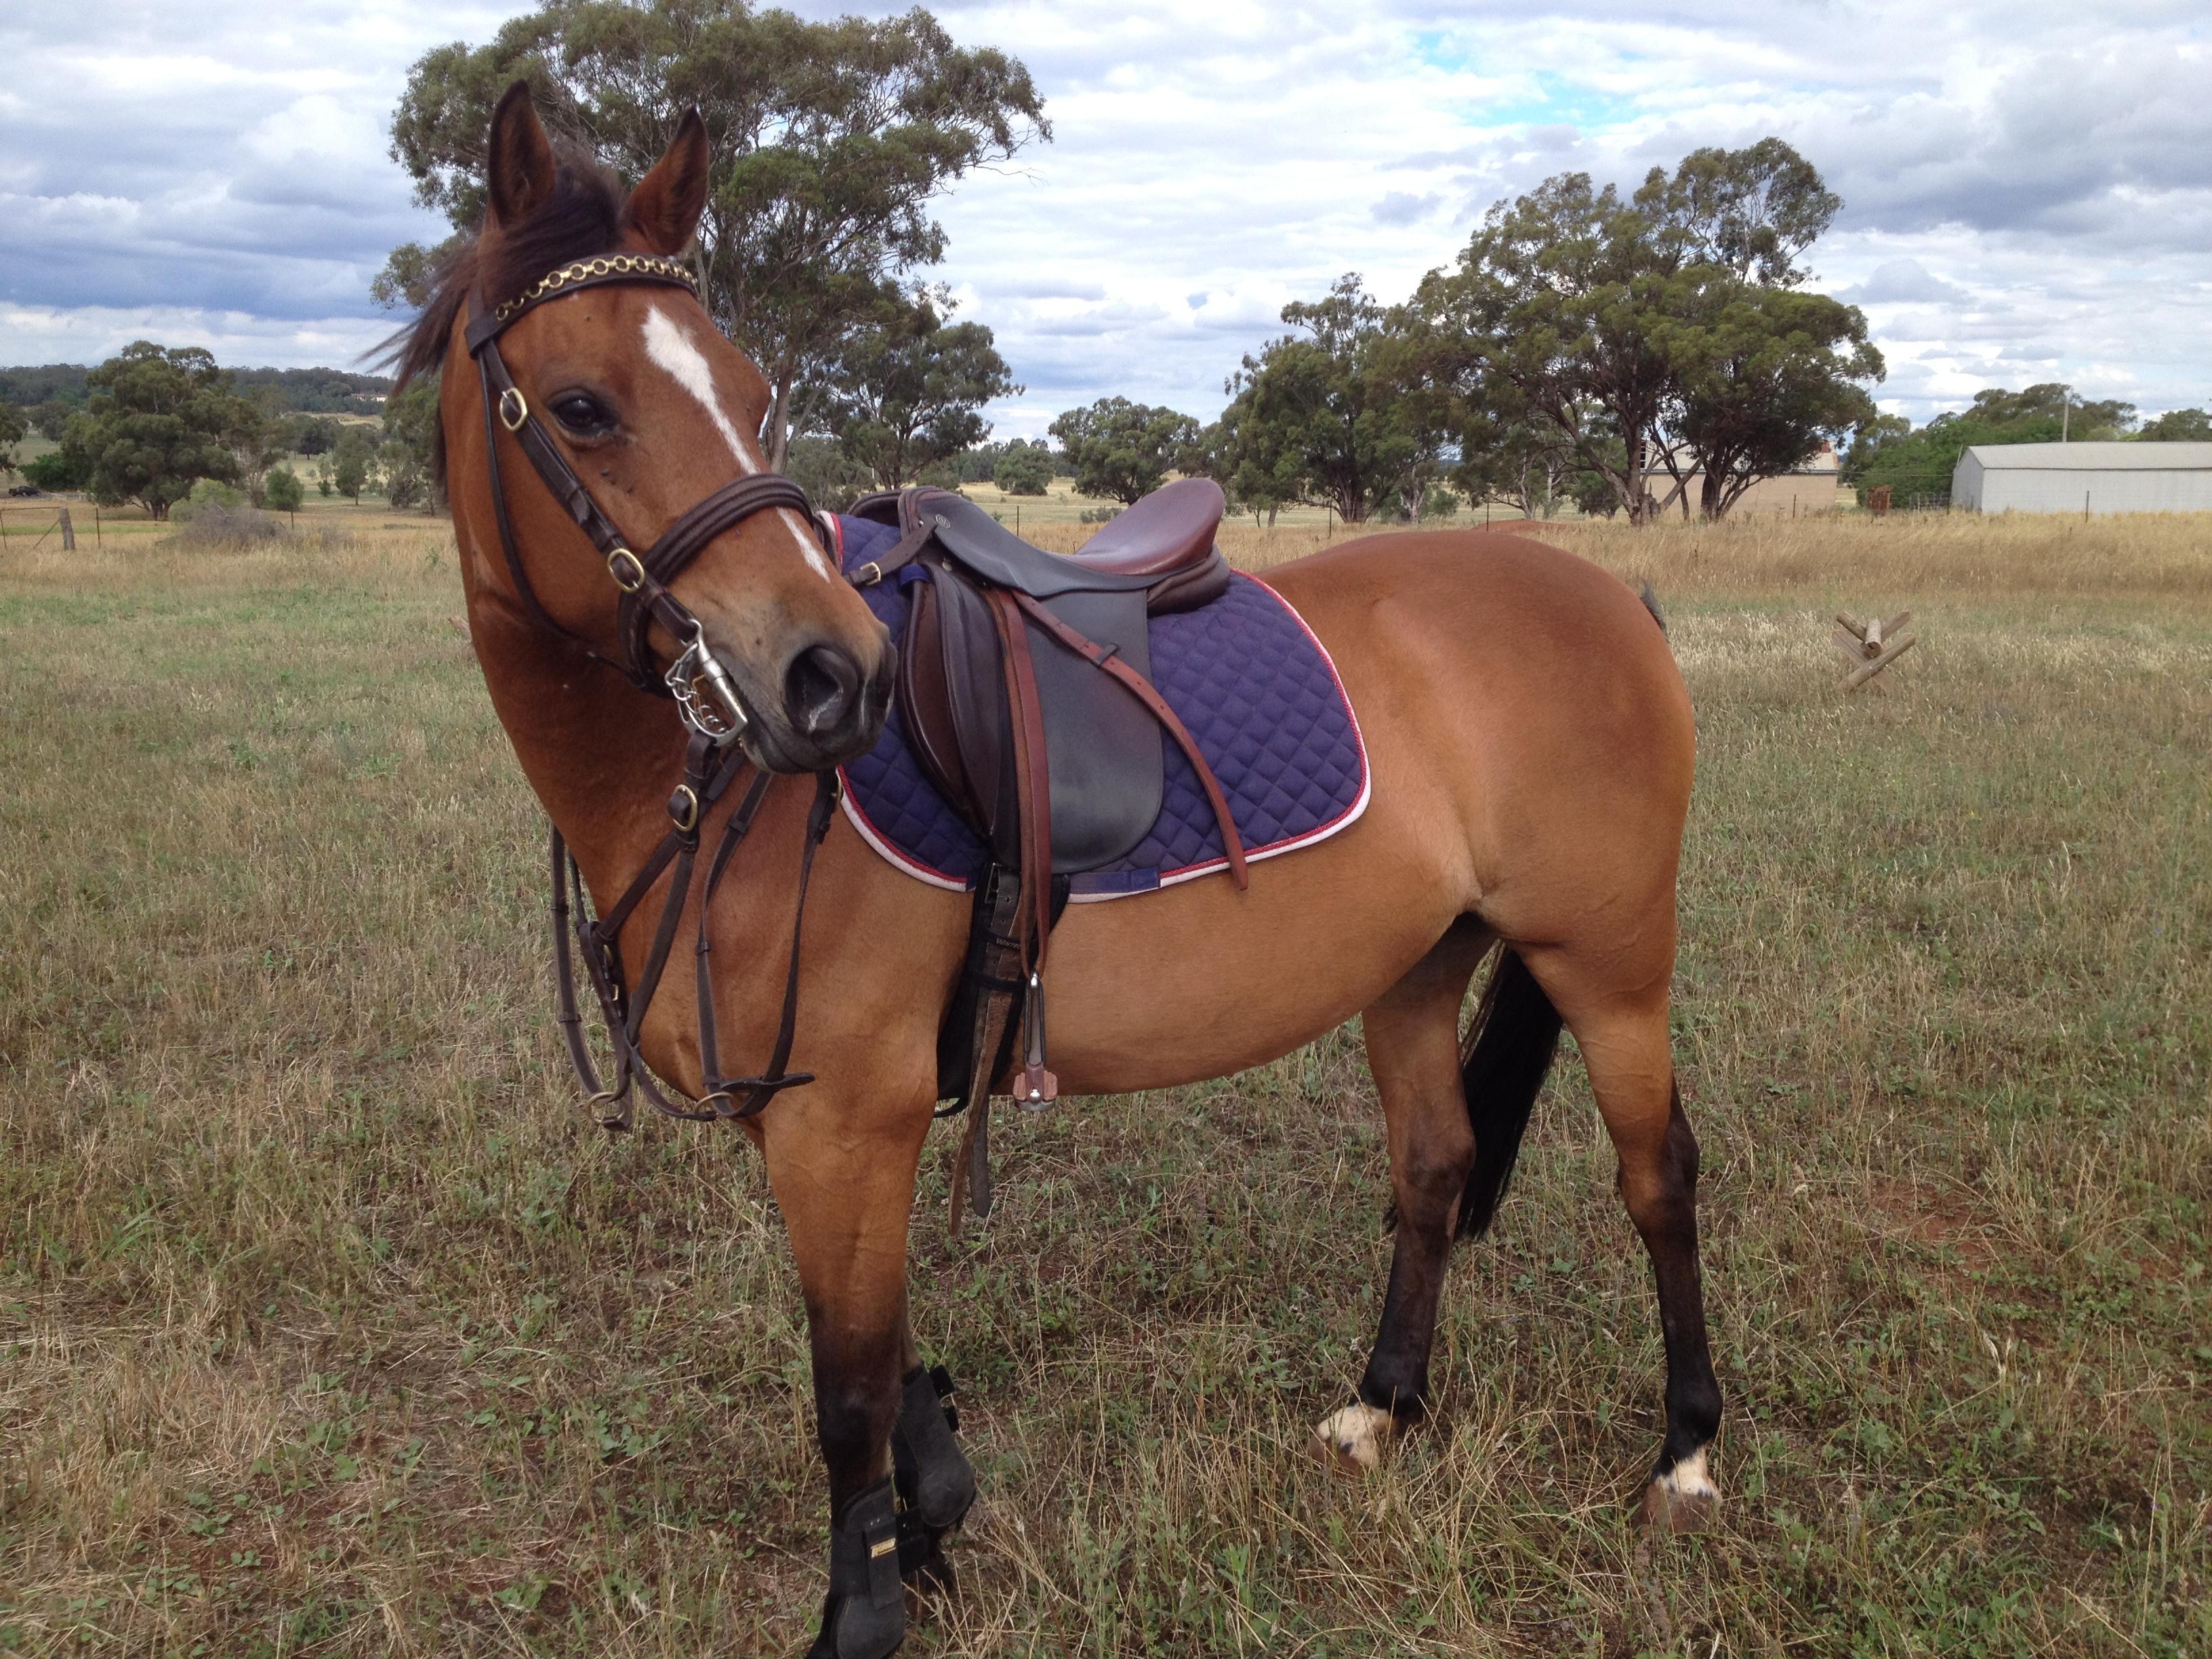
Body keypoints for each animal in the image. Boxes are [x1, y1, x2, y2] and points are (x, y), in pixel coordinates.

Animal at [390, 81, 1721, 1659]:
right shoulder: (817, 1131)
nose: (834, 677)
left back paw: (1686, 1455)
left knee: (1658, 1181)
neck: (730, 797)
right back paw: (1382, 1409)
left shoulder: (847, 1123)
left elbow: (845, 1389)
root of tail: (1605, 591)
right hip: (1410, 966)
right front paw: (929, 1525)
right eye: (584, 407)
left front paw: (866, 1605)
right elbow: (884, 1358)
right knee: (1434, 1168)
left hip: (1609, 966)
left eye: (753, 392)